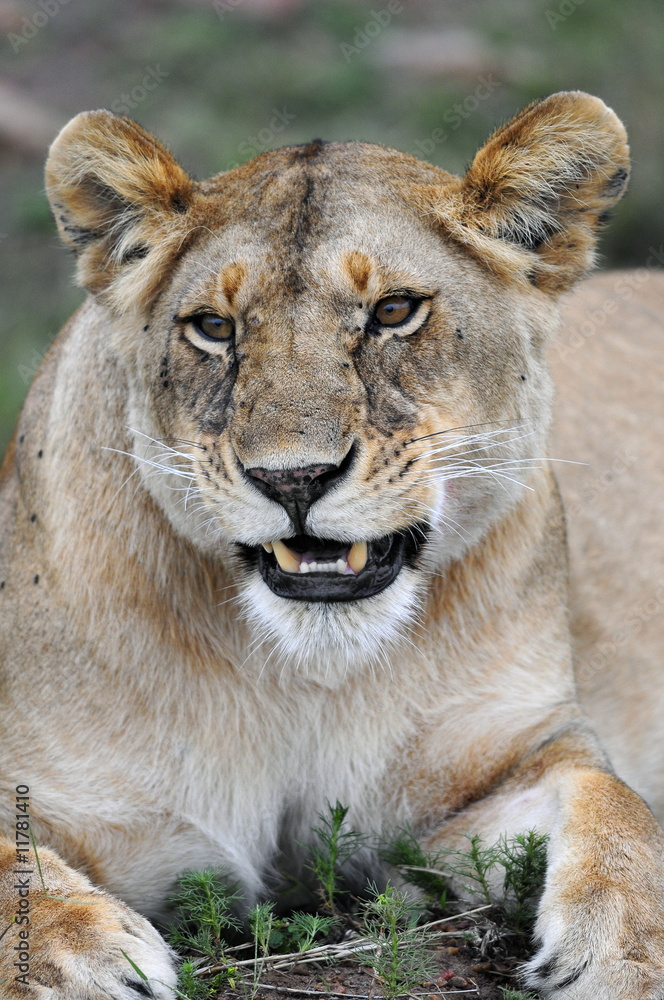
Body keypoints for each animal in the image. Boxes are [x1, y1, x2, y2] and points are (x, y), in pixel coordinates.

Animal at [0, 90, 663, 999]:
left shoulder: (496, 768)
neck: (302, 676)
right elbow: (8, 859)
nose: (294, 479)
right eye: (213, 327)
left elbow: (613, 800)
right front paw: (77, 958)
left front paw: (629, 953)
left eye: (394, 312)